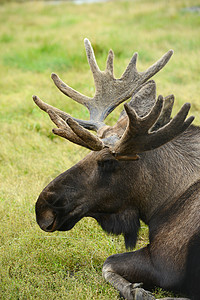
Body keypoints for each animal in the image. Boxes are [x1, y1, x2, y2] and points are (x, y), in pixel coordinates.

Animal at [32, 38, 200, 298]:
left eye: (107, 161)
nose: (42, 209)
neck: (162, 202)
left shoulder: (166, 263)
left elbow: (107, 262)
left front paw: (138, 291)